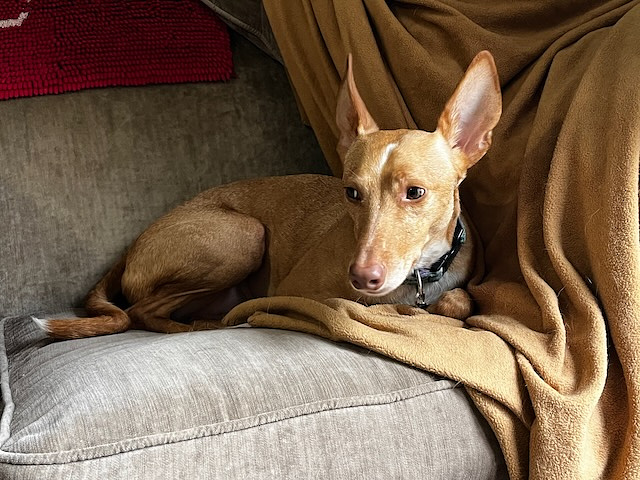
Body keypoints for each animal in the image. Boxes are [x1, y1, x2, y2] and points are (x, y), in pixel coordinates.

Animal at [33, 51, 500, 338]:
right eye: (351, 192)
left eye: (415, 192)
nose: (362, 277)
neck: (417, 278)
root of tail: (131, 248)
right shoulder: (300, 292)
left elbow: (459, 301)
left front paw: (443, 303)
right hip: (243, 236)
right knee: (141, 313)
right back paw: (212, 325)